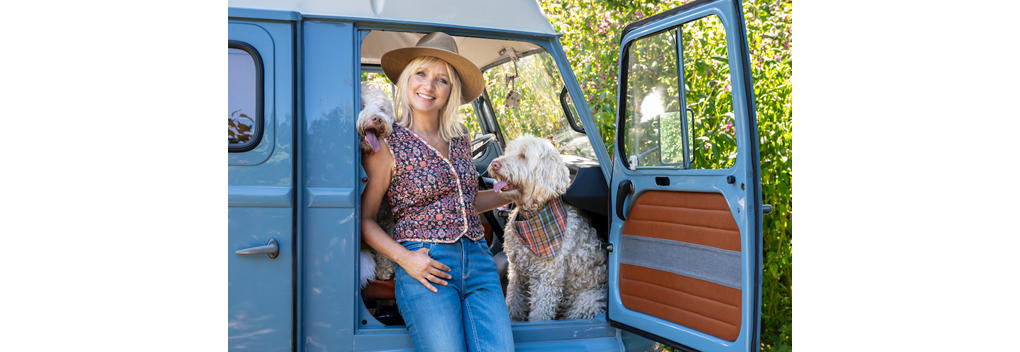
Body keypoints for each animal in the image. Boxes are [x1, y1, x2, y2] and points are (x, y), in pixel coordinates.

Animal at [485, 134, 603, 320]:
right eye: (508, 151)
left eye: (523, 156)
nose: (495, 164)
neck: (533, 216)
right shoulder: (517, 271)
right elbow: (513, 300)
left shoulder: (547, 279)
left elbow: (540, 313)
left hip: (587, 302)